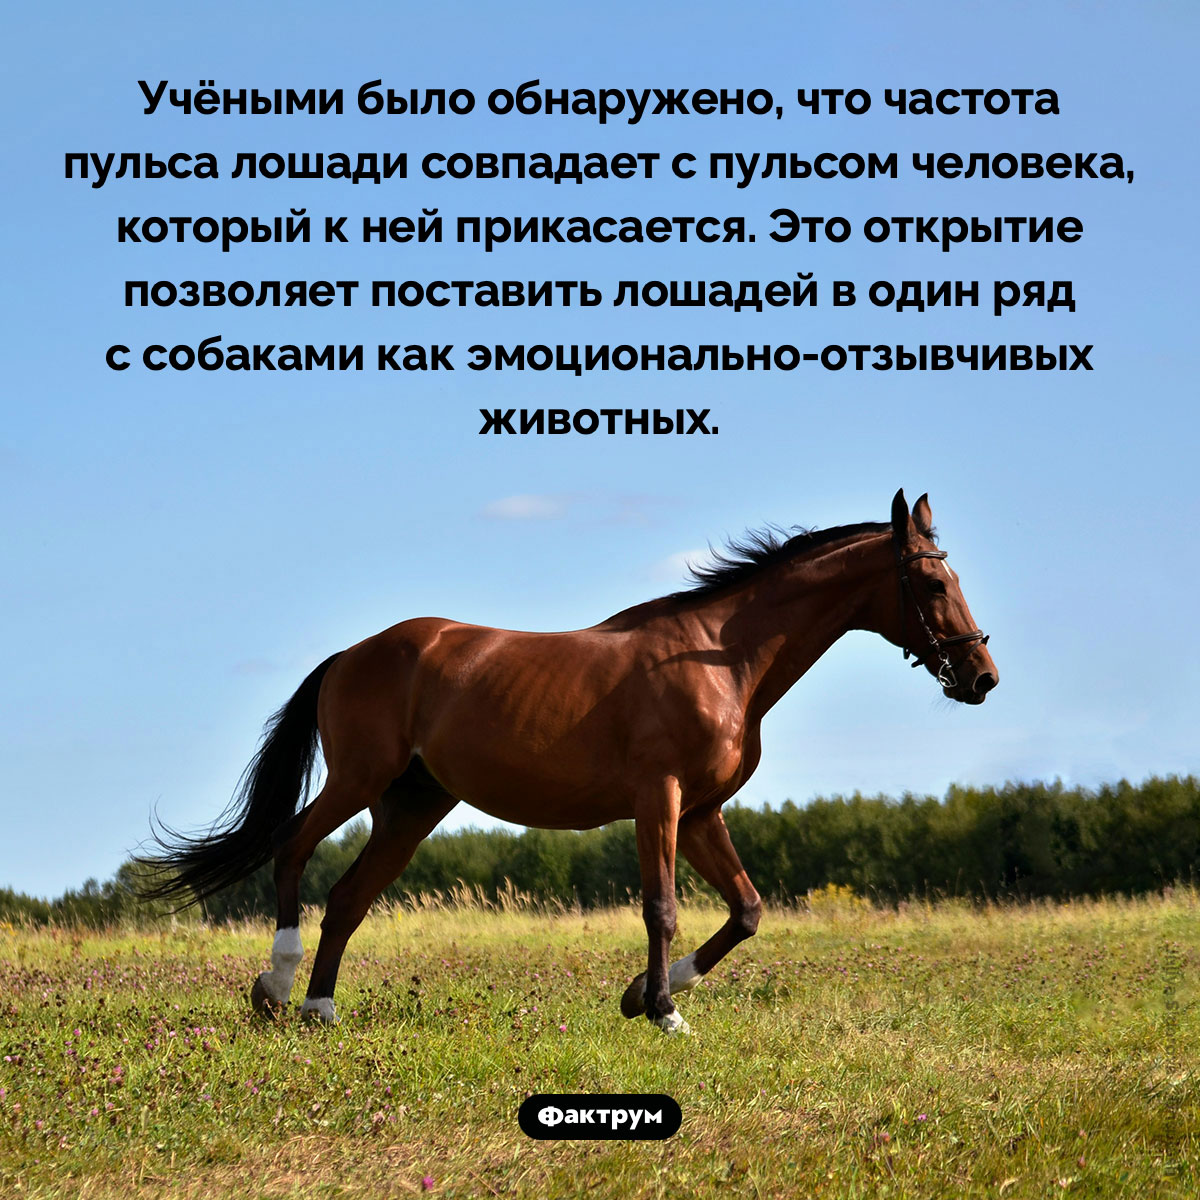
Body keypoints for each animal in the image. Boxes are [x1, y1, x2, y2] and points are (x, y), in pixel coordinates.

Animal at [140, 489, 996, 1034]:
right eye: (930, 580)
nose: (981, 677)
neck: (721, 659)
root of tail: (353, 653)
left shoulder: (703, 811)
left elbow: (747, 911)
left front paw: (644, 994)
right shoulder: (661, 800)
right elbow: (662, 907)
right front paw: (663, 1011)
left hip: (412, 806)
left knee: (349, 897)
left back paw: (320, 1009)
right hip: (361, 778)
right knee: (292, 850)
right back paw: (275, 986)